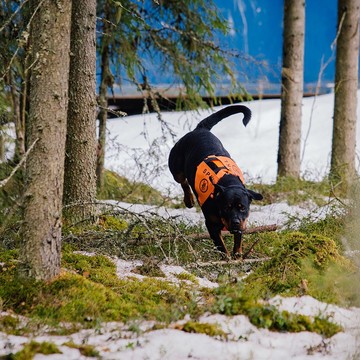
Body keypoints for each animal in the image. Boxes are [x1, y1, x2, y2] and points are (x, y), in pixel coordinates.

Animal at [167, 105, 262, 258]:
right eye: (226, 208)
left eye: (242, 208)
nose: (235, 221)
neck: (228, 182)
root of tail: (200, 129)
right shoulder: (211, 225)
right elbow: (220, 245)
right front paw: (227, 258)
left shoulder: (242, 223)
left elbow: (238, 239)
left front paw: (237, 254)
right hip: (176, 167)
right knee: (183, 181)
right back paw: (189, 200)